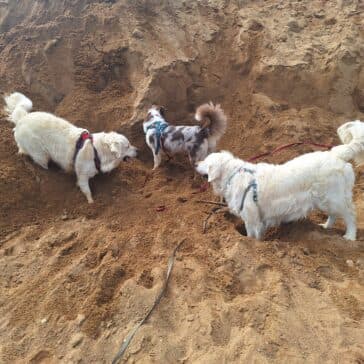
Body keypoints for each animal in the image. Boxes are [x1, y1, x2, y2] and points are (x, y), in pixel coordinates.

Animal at [3, 92, 138, 203]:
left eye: (130, 144)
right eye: (127, 146)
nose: (138, 150)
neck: (96, 151)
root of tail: (23, 118)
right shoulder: (82, 176)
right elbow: (87, 191)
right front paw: (91, 203)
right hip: (41, 155)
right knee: (40, 162)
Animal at [198, 121, 364, 242]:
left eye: (205, 162)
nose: (196, 164)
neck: (233, 175)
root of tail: (337, 154)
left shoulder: (251, 218)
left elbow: (252, 236)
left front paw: (252, 244)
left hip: (334, 197)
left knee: (350, 214)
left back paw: (350, 236)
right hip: (324, 199)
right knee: (334, 214)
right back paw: (326, 226)